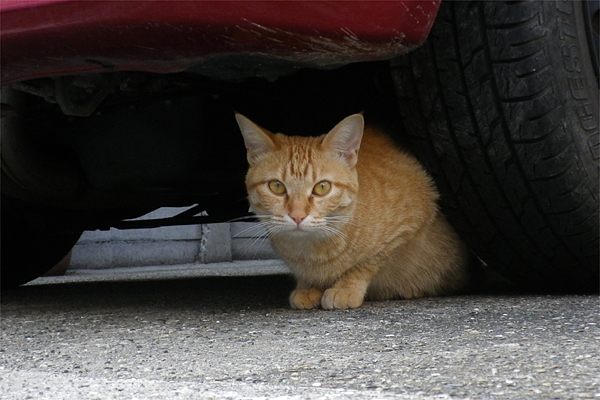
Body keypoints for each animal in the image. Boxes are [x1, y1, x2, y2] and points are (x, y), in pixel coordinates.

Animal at [234, 112, 468, 310]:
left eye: (322, 187)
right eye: (277, 186)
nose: (298, 215)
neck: (311, 252)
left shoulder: (408, 225)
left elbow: (365, 263)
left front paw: (345, 288)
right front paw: (307, 286)